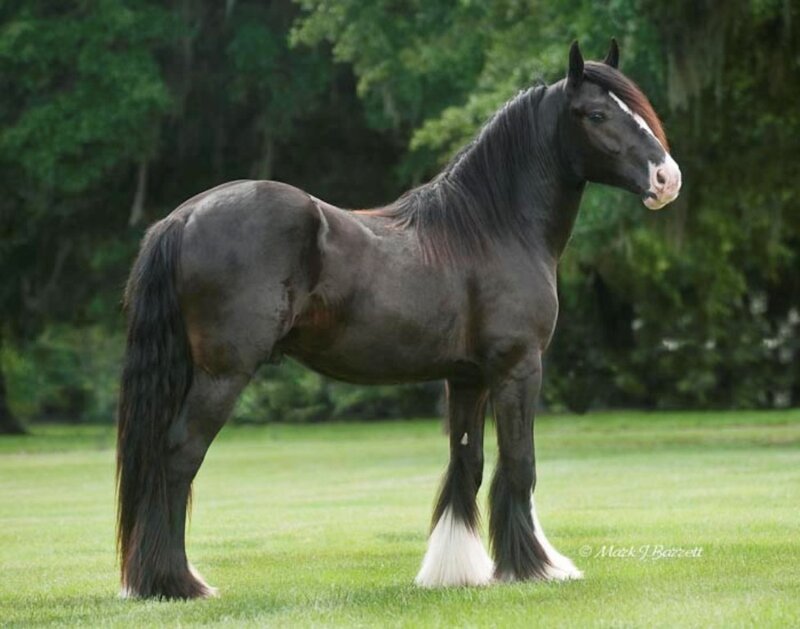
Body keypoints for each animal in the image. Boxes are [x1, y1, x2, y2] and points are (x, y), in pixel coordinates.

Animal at [116, 40, 681, 599]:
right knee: (179, 455)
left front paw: (456, 571)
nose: (667, 178)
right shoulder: (518, 368)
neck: (490, 228)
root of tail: (183, 217)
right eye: (597, 113)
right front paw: (534, 568)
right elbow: (520, 465)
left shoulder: (468, 378)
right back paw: (176, 582)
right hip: (223, 374)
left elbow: (467, 464)